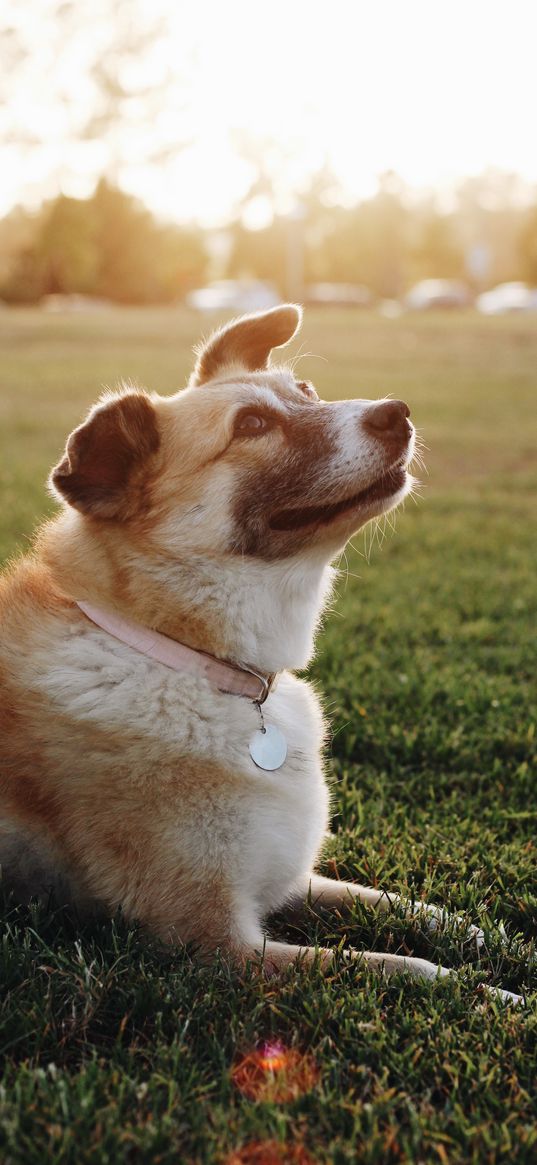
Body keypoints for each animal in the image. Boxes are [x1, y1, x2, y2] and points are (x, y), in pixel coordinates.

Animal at [0, 307, 519, 1001]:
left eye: (307, 393)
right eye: (250, 425)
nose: (397, 411)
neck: (194, 660)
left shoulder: (292, 881)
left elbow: (394, 902)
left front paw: (488, 936)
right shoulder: (221, 947)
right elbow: (399, 970)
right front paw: (494, 997)